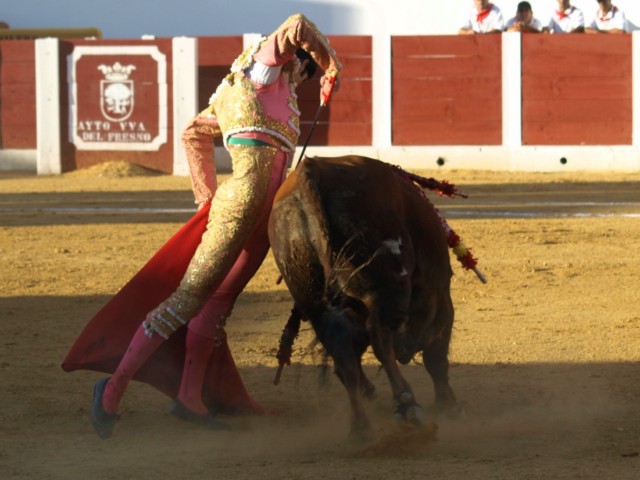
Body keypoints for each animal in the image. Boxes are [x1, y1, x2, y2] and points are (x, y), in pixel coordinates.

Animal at [268, 156, 468, 440]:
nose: (405, 352)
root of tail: (312, 169)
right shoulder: (438, 297)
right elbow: (436, 358)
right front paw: (449, 407)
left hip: (312, 300)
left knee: (343, 353)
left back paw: (361, 428)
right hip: (384, 284)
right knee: (379, 336)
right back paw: (406, 405)